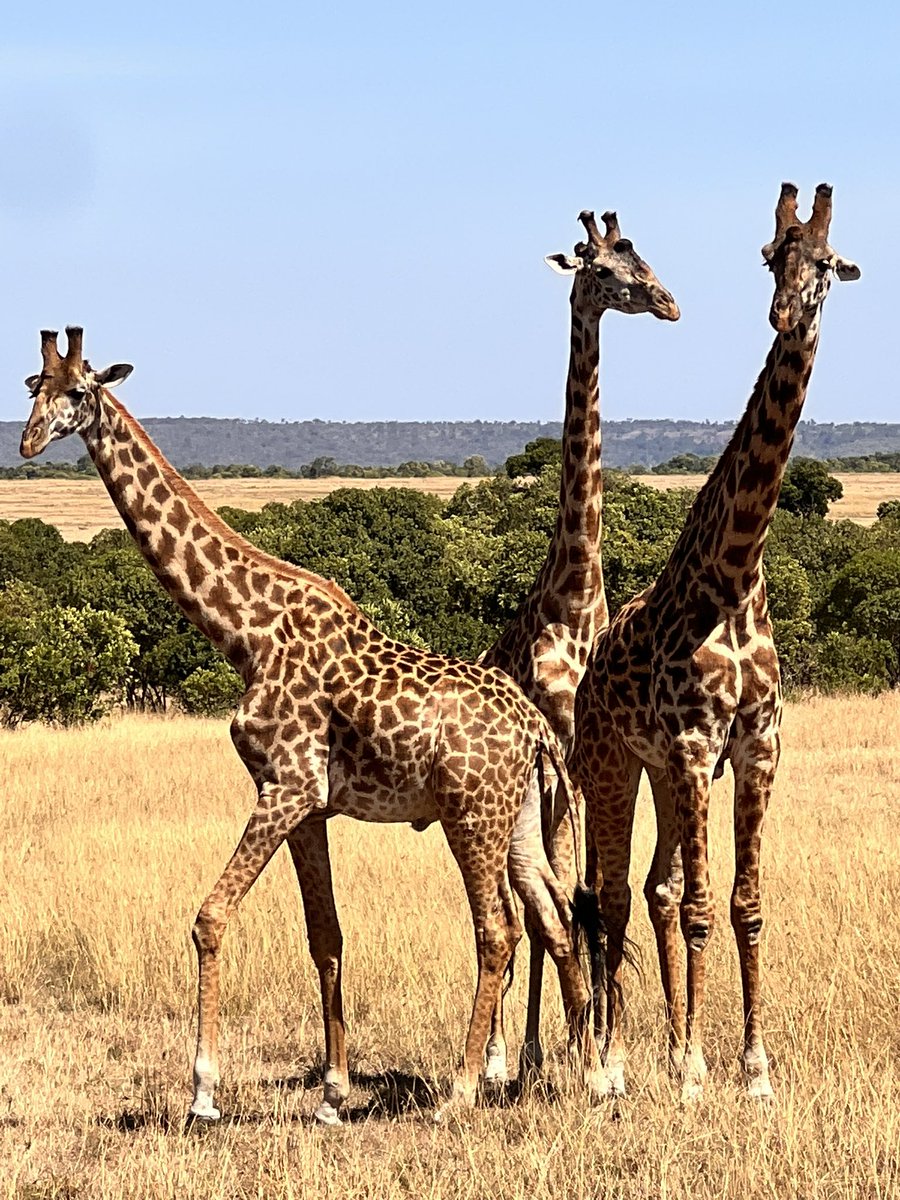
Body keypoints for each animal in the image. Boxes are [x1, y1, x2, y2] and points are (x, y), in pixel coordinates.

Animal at [19, 327, 605, 1125]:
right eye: (32, 388)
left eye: (79, 391)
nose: (27, 442)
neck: (246, 632)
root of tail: (536, 729)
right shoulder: (308, 805)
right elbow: (325, 934)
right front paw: (331, 1091)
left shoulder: (285, 785)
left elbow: (209, 917)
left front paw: (203, 1092)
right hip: (515, 820)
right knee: (554, 917)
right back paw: (591, 1079)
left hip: (470, 814)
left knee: (499, 929)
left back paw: (460, 1092)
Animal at [570, 182, 860, 1102]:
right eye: (770, 256)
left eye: (828, 263)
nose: (784, 314)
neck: (732, 578)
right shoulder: (697, 745)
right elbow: (700, 906)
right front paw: (698, 1070)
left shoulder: (758, 744)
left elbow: (743, 904)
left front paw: (751, 1067)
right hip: (615, 764)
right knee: (610, 896)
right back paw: (612, 1065)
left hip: (663, 774)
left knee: (655, 888)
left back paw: (660, 1048)